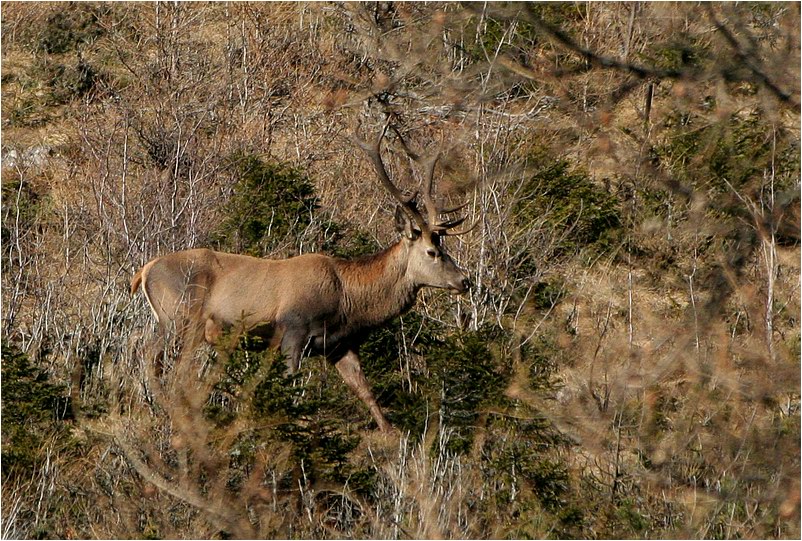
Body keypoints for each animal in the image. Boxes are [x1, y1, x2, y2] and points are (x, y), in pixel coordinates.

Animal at [130, 123, 468, 430]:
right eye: (432, 252)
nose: (464, 281)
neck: (347, 297)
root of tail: (144, 270)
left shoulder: (338, 344)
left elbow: (364, 390)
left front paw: (392, 435)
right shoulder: (293, 329)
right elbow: (291, 386)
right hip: (180, 317)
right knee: (156, 360)